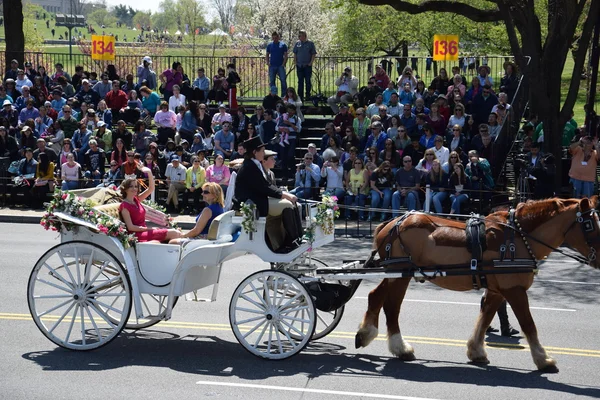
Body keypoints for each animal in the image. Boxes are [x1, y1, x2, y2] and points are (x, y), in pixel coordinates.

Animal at [354, 197, 600, 372]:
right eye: (589, 225)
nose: (598, 259)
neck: (520, 239)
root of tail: (390, 223)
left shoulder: (497, 290)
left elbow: (485, 317)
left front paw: (476, 351)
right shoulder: (515, 290)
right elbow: (529, 324)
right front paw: (543, 359)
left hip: (395, 274)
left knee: (376, 296)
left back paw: (367, 334)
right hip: (401, 275)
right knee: (391, 306)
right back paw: (400, 347)